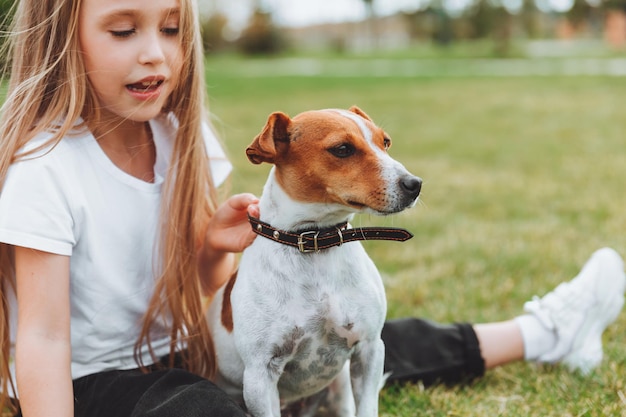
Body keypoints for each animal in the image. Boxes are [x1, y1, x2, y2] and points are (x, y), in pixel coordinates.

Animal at [207, 107, 422, 416]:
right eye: (342, 149)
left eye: (386, 142)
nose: (415, 184)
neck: (316, 240)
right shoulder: (260, 375)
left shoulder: (369, 349)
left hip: (340, 388)